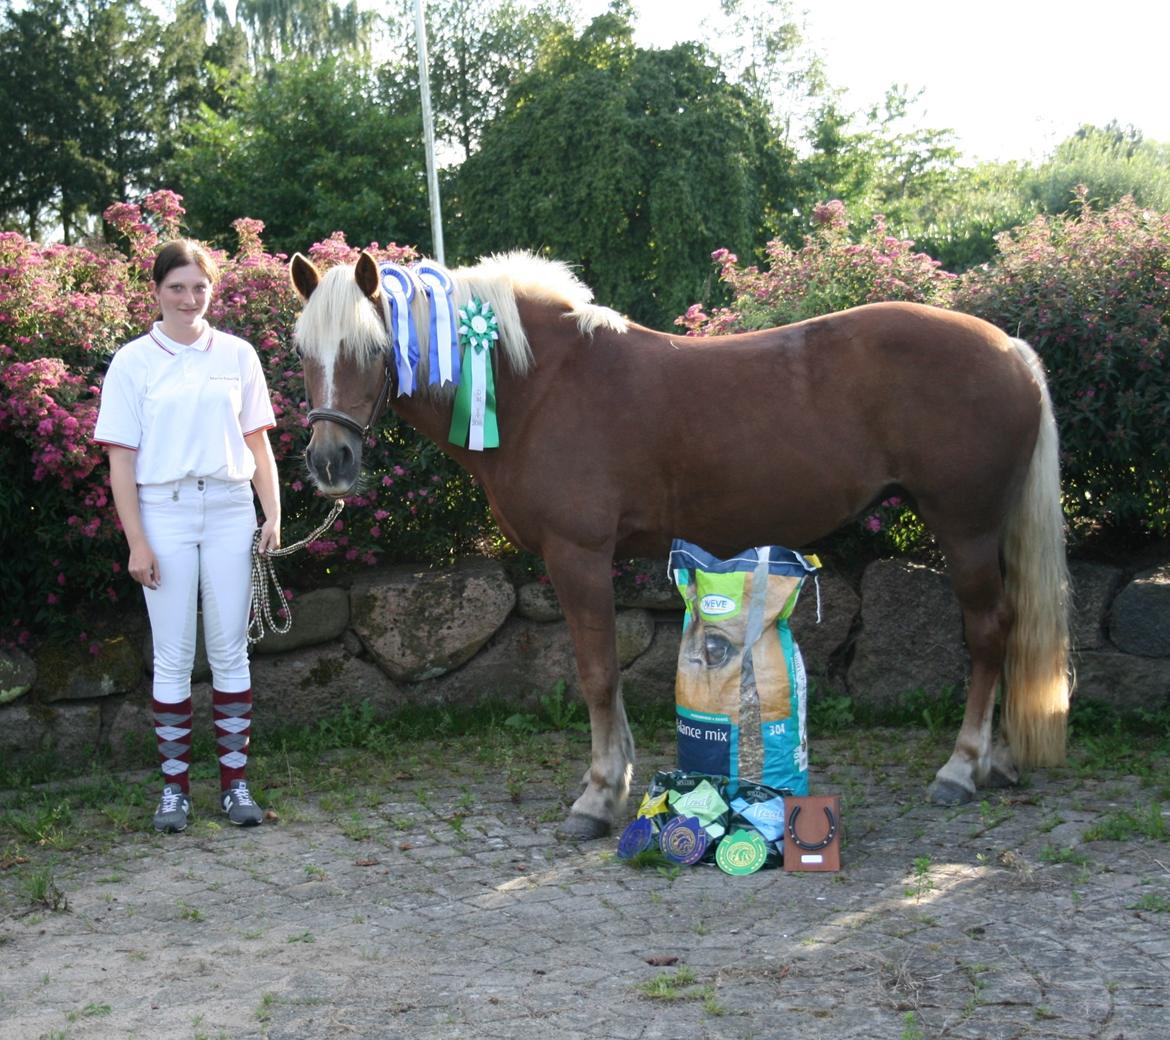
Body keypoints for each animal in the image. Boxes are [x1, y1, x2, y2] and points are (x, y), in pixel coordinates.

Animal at [285, 248, 1071, 842]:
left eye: (371, 348)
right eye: (302, 354)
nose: (330, 464)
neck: (537, 387)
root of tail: (1011, 349)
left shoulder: (578, 556)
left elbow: (598, 672)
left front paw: (599, 796)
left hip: (966, 529)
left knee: (988, 635)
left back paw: (961, 768)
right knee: (1007, 632)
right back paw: (999, 762)